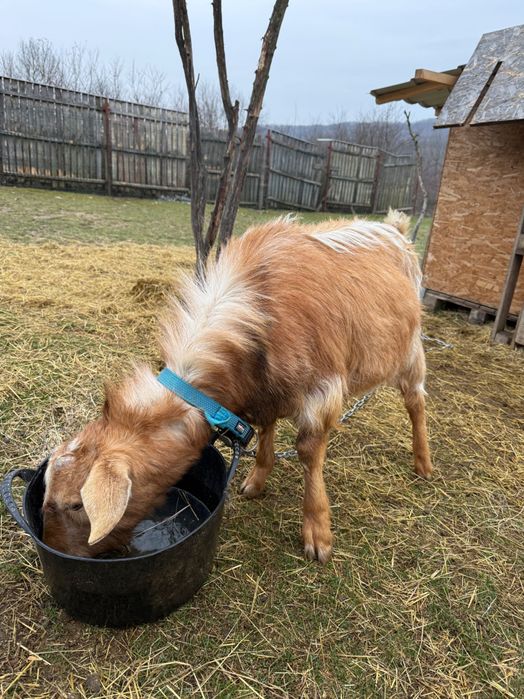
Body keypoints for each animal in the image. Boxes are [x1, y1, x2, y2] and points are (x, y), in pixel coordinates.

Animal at [43, 210, 432, 562]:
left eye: (76, 504)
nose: (57, 550)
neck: (256, 313)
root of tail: (393, 227)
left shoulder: (321, 392)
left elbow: (308, 452)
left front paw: (318, 534)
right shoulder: (265, 391)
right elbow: (265, 429)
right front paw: (257, 481)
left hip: (410, 350)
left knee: (416, 402)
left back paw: (423, 463)